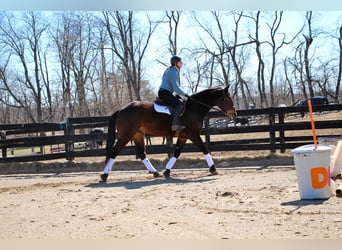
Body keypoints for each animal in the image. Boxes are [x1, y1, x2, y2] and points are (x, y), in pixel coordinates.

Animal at [100, 85, 236, 182]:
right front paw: (213, 169)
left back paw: (155, 172)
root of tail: (122, 109)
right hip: (126, 135)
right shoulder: (193, 135)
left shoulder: (183, 136)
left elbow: (176, 153)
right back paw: (104, 175)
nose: (234, 113)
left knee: (142, 153)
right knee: (114, 152)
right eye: (227, 98)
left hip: (138, 135)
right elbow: (204, 149)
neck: (194, 108)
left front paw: (167, 171)